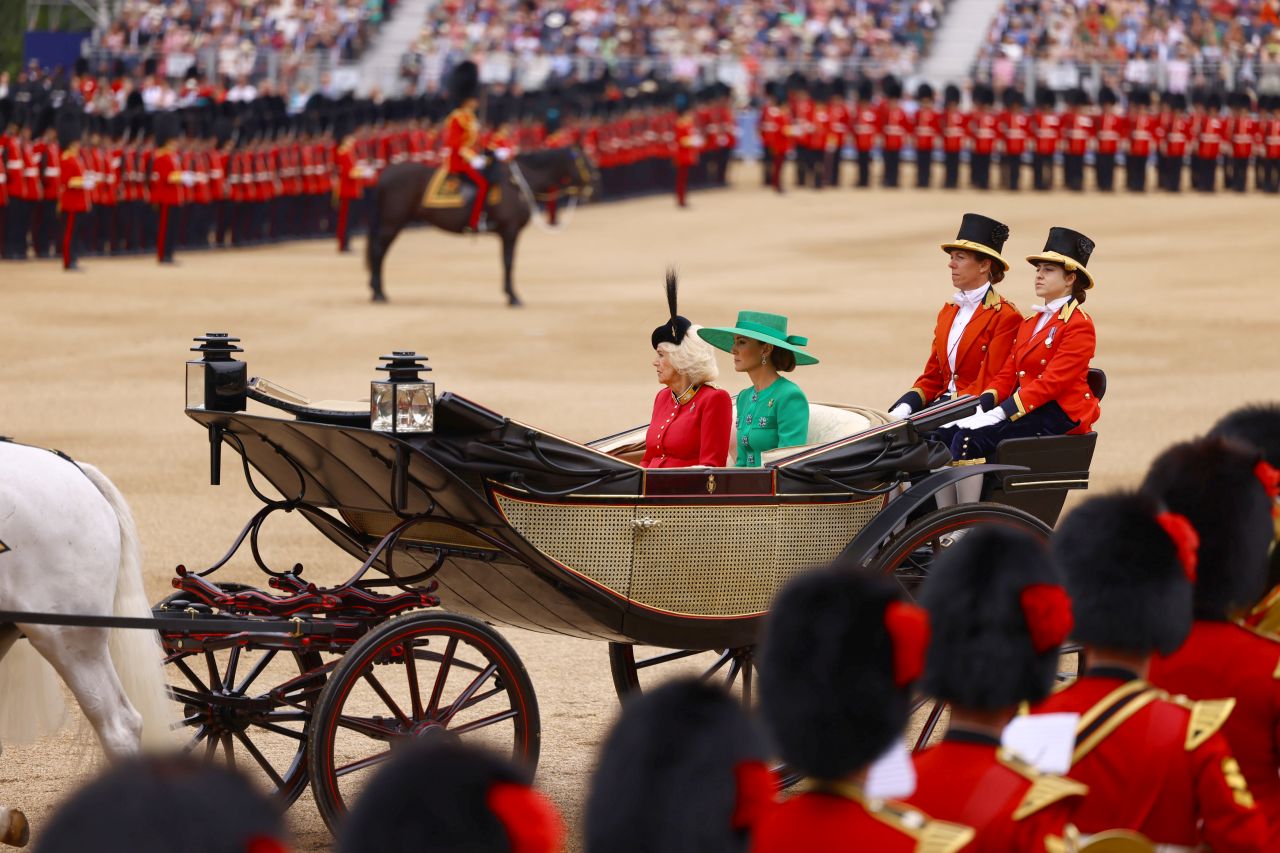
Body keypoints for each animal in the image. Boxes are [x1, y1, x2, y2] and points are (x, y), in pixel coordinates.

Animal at [363, 144, 596, 303]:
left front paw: (509, 293)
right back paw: (379, 292)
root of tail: (385, 175)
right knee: (378, 252)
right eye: (585, 162)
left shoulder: (508, 232)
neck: (518, 184)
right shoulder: (510, 231)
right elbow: (508, 262)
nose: (597, 182)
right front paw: (513, 296)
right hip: (391, 224)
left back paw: (376, 290)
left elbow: (507, 261)